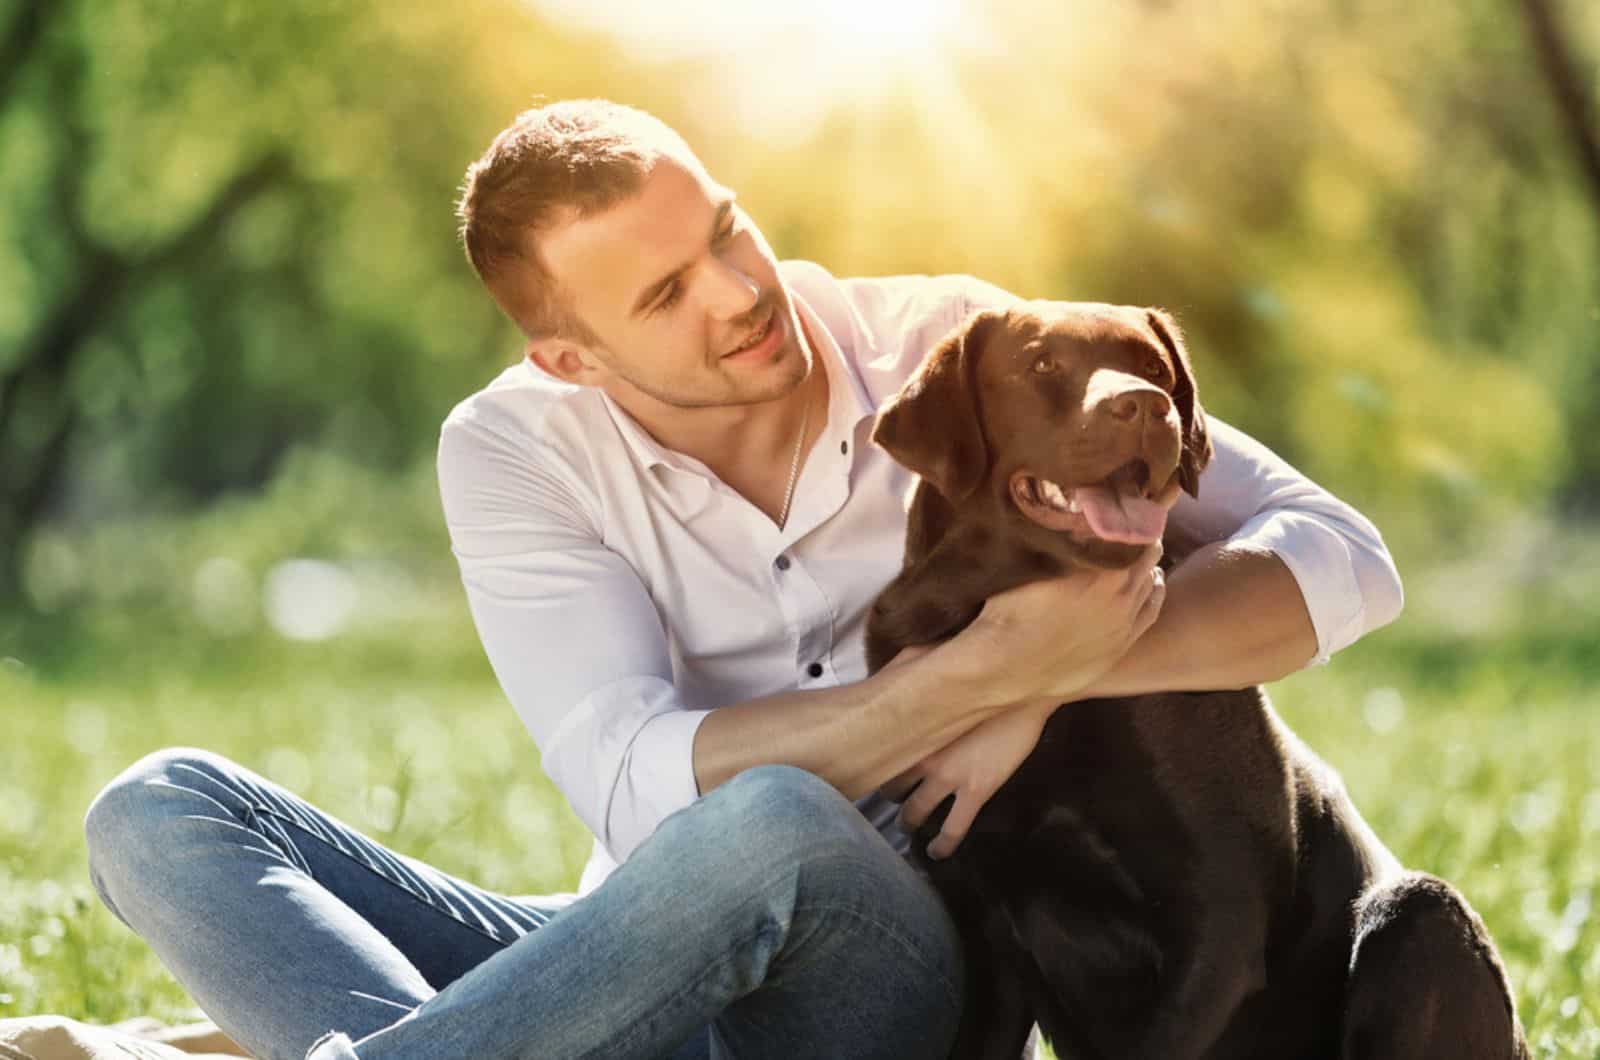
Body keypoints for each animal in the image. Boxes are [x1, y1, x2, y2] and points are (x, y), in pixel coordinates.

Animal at [864, 305, 1523, 1060]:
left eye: (1154, 368)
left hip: (1420, 915)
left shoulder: (1218, 916)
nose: (1146, 406)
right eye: (1042, 365)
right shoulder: (980, 921)